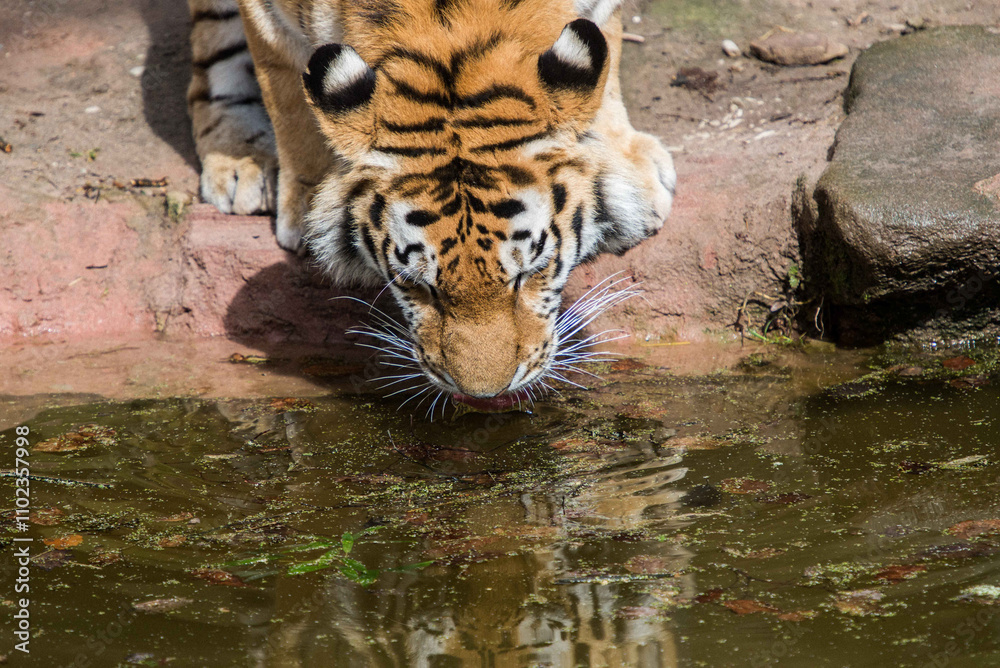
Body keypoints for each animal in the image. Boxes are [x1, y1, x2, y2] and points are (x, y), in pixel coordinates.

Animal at [186, 0, 675, 410]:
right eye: (416, 285)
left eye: (530, 274)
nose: (484, 394)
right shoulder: (269, 18)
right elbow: (285, 91)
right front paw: (306, 204)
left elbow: (607, 50)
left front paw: (628, 171)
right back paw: (238, 157)